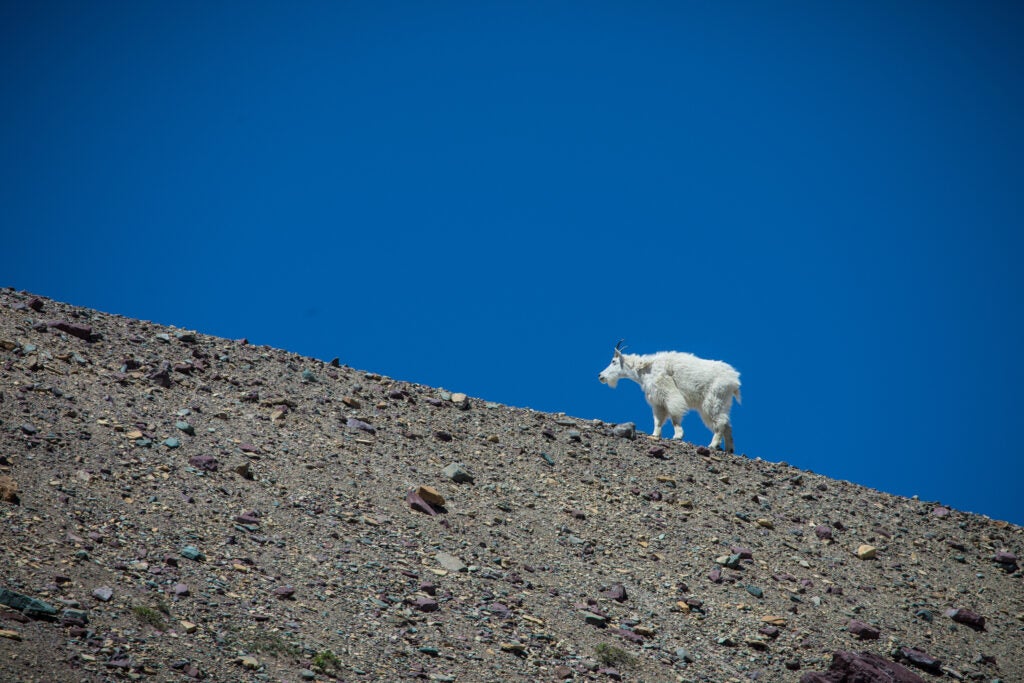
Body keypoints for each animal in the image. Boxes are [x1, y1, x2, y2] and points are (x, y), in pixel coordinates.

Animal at [598, 339, 741, 448]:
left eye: (613, 361)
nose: (601, 376)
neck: (645, 369)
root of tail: (734, 380)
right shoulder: (657, 401)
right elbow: (658, 420)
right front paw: (655, 435)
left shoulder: (668, 393)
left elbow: (674, 415)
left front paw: (678, 435)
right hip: (722, 403)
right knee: (727, 425)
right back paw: (729, 449)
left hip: (714, 399)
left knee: (721, 422)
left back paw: (713, 444)